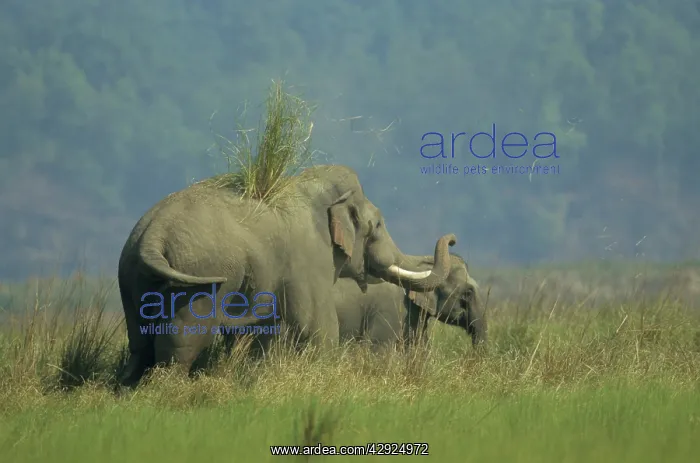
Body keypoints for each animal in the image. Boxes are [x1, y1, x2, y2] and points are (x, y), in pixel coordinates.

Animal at [117, 164, 457, 386]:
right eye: (377, 225)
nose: (452, 239)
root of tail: (153, 234)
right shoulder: (310, 261)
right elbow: (318, 326)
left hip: (130, 276)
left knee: (140, 341)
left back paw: (128, 389)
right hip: (195, 276)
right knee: (183, 339)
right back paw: (168, 391)